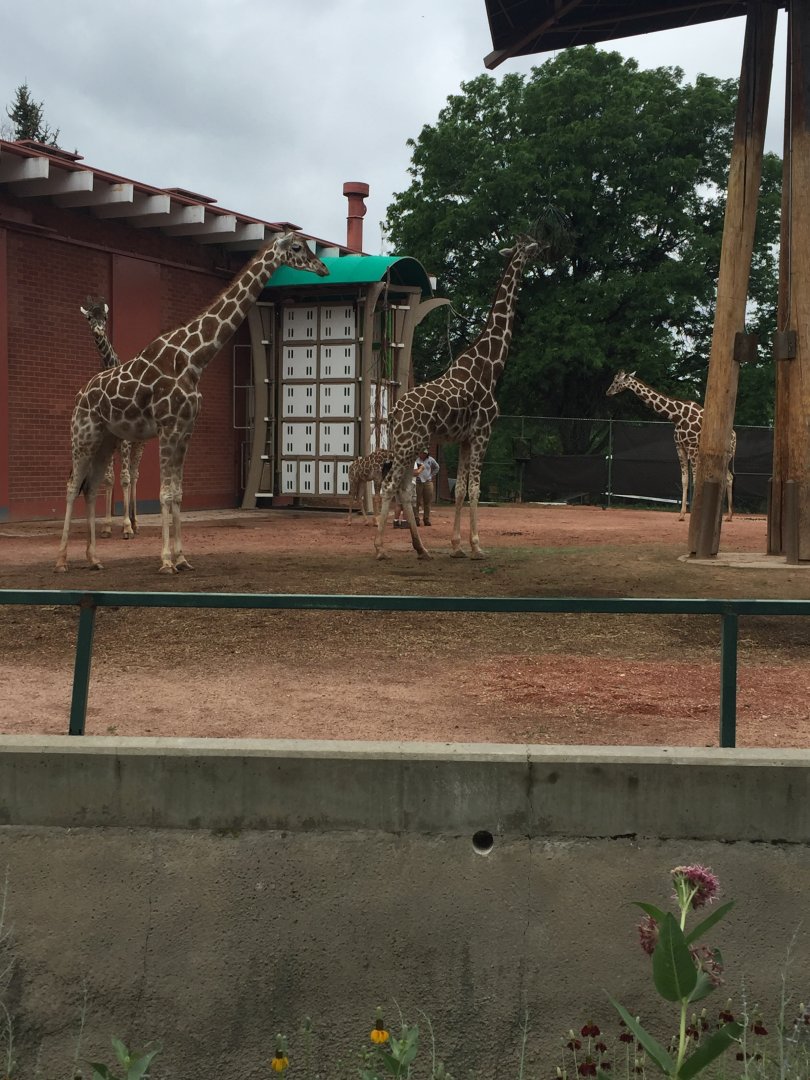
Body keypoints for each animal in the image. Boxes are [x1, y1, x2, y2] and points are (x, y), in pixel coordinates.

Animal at [80, 296, 145, 540]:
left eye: (105, 317)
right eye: (89, 316)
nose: (98, 330)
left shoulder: (125, 441)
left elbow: (125, 478)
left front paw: (126, 527)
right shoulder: (106, 438)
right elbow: (108, 478)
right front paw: (107, 526)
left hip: (138, 443)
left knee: (134, 475)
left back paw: (136, 523)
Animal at [374, 232, 544, 560]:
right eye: (527, 247)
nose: (542, 249)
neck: (490, 366)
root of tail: (395, 410)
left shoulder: (465, 438)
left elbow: (462, 490)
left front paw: (457, 547)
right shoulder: (482, 433)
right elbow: (475, 489)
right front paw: (477, 546)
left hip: (408, 445)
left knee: (404, 489)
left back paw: (423, 549)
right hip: (407, 445)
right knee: (390, 486)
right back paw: (379, 549)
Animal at [606, 370, 735, 521]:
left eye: (616, 381)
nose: (608, 392)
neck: (678, 416)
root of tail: (734, 435)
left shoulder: (692, 447)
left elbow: (695, 479)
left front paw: (693, 513)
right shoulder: (680, 447)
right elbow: (684, 480)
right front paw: (682, 514)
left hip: (724, 455)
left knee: (726, 477)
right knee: (728, 477)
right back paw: (728, 515)